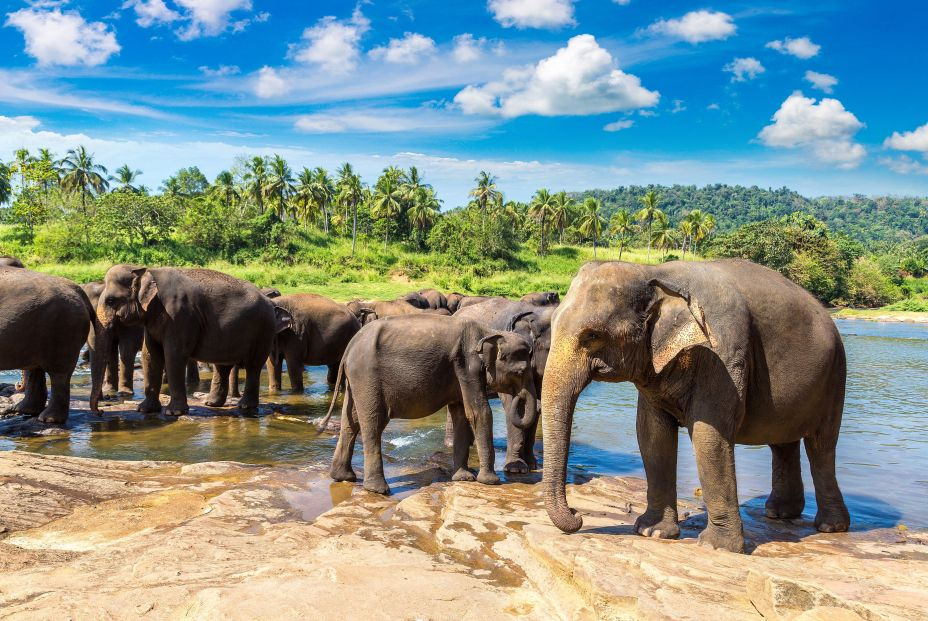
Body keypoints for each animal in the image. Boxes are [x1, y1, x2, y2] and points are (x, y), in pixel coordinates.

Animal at [0, 266, 97, 423]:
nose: (17, 385)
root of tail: (78, 289)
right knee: (36, 368)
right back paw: (21, 410)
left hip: (62, 328)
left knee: (59, 373)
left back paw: (48, 419)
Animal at [89, 265, 292, 416]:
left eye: (111, 300)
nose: (101, 411)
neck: (148, 271)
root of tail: (270, 301)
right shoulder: (152, 320)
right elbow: (150, 356)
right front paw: (145, 410)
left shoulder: (179, 315)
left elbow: (173, 355)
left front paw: (173, 413)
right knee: (223, 366)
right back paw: (212, 404)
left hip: (263, 331)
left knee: (253, 366)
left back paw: (245, 406)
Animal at [322, 314, 538, 495]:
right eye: (520, 372)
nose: (518, 395)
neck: (489, 331)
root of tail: (349, 347)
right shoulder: (468, 366)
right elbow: (479, 413)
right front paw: (490, 481)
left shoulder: (461, 372)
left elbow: (461, 415)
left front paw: (464, 478)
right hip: (367, 375)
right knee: (373, 423)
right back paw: (379, 490)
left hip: (356, 379)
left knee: (350, 422)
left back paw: (343, 477)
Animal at [453, 299, 556, 473]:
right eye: (552, 348)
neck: (536, 312)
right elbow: (516, 406)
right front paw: (517, 469)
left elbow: (532, 406)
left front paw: (532, 465)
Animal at [541, 259, 849, 553]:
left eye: (592, 335)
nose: (577, 515)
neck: (655, 273)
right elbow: (652, 435)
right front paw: (652, 532)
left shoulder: (722, 352)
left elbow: (708, 435)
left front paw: (716, 547)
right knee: (783, 442)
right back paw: (780, 513)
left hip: (836, 375)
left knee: (822, 446)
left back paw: (830, 526)